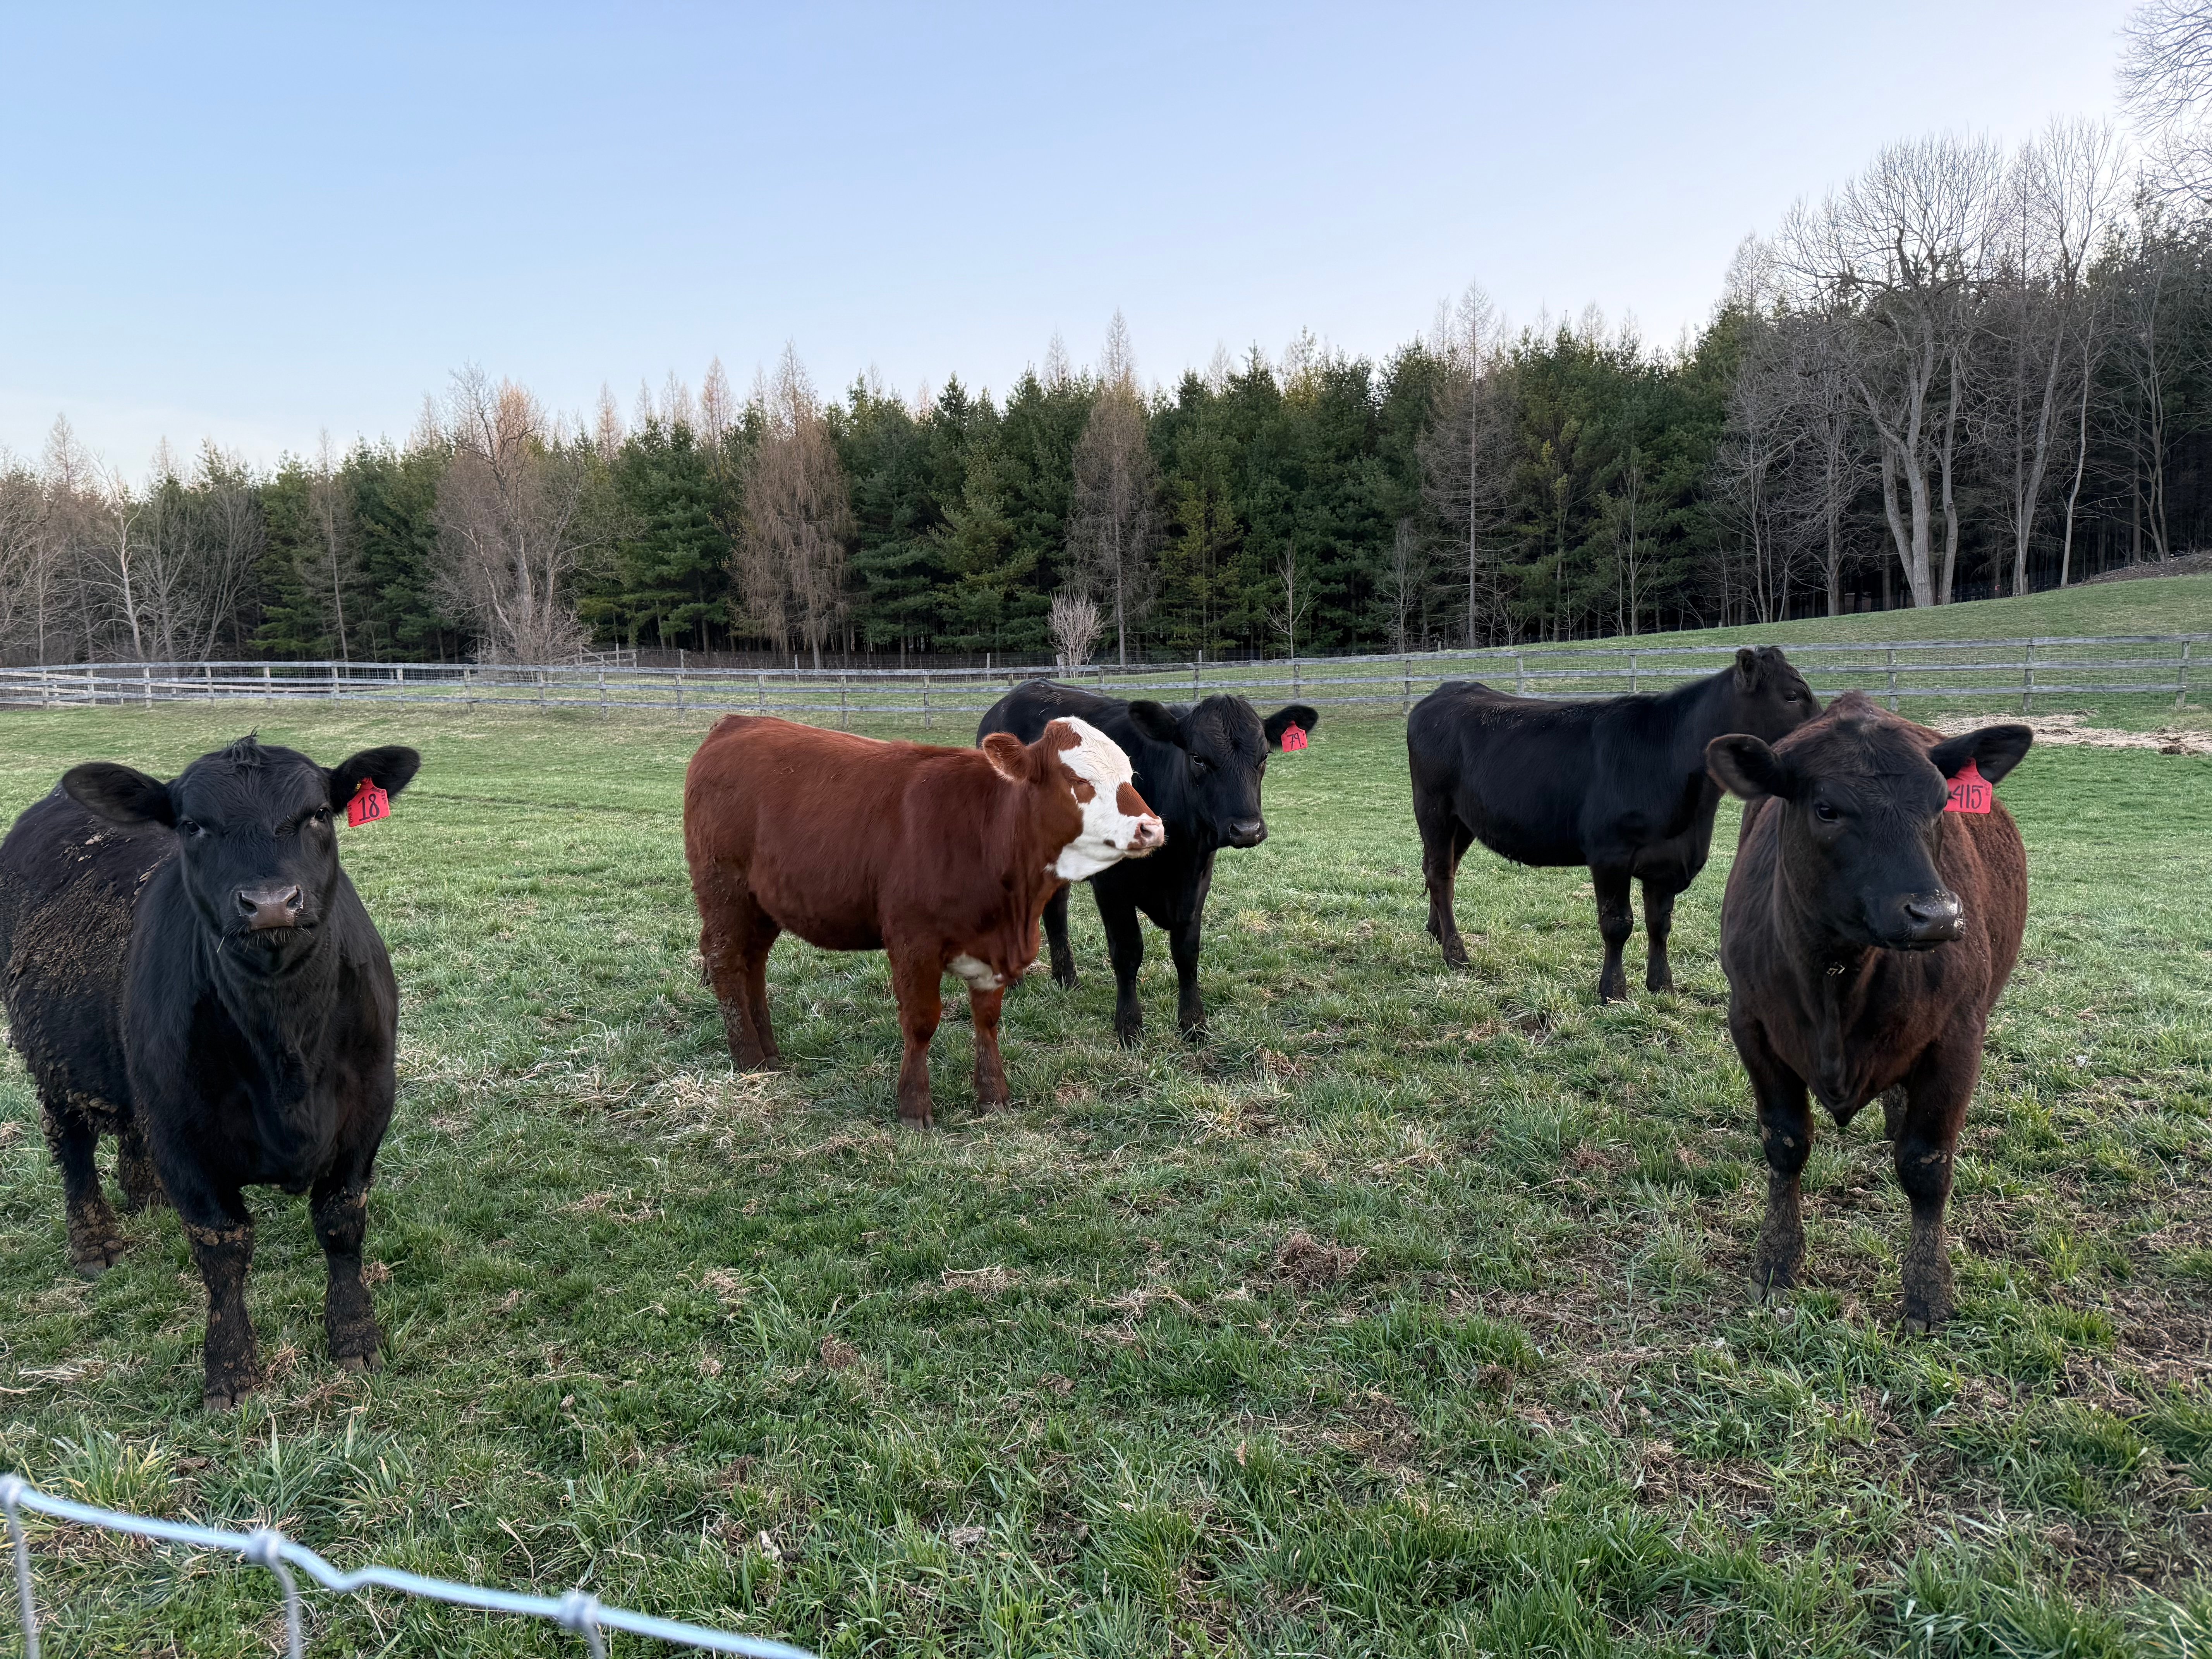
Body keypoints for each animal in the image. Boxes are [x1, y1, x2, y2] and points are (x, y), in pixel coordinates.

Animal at [0, 736, 420, 1409]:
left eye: (317, 815)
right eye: (194, 826)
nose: (271, 903)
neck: (286, 1050)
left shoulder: (367, 1111)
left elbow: (340, 1223)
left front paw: (356, 1339)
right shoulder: (182, 1134)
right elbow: (222, 1248)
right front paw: (230, 1369)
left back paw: (145, 1195)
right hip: (52, 1058)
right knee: (72, 1146)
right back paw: (95, 1242)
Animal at [683, 714, 1162, 1128]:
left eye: (1130, 775)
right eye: (1079, 781)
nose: (1152, 829)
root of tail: (737, 723)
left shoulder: (991, 950)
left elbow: (987, 1020)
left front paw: (993, 1096)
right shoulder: (913, 942)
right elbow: (920, 1022)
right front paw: (913, 1107)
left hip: (761, 904)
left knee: (754, 965)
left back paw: (769, 1054)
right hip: (724, 890)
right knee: (726, 962)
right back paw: (748, 1058)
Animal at [975, 682, 1318, 1045]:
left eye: (1264, 757)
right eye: (1198, 758)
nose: (1247, 829)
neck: (1177, 855)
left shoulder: (1197, 881)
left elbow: (1187, 951)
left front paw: (1194, 1023)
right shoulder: (1112, 885)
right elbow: (1127, 952)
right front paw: (1129, 1025)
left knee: (1056, 909)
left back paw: (1067, 979)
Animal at [1407, 645, 1819, 1002]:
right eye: (1792, 696)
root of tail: (1443, 692)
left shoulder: (1667, 859)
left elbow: (1660, 924)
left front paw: (1662, 986)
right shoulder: (1610, 854)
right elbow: (1618, 924)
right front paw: (1613, 991)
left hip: (1464, 821)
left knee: (1440, 870)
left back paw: (1436, 933)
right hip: (1434, 807)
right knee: (1441, 874)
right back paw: (1456, 954)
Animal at [1705, 693, 2033, 1331]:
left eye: (1941, 803)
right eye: (1827, 809)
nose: (1935, 915)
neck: (1837, 980)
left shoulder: (1959, 1036)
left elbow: (1927, 1164)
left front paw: (1927, 1291)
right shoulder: (1751, 1024)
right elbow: (1785, 1143)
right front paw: (1777, 1261)